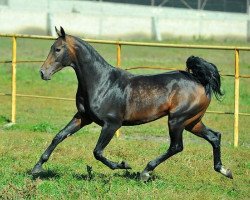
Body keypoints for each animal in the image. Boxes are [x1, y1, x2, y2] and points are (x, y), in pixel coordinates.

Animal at [30, 27, 232, 181]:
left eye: (57, 49)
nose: (42, 72)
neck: (102, 82)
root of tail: (201, 81)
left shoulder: (112, 124)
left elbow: (98, 152)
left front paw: (123, 165)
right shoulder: (83, 117)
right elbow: (59, 136)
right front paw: (36, 168)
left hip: (177, 120)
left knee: (176, 146)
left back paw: (145, 172)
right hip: (192, 121)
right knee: (214, 136)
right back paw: (225, 170)